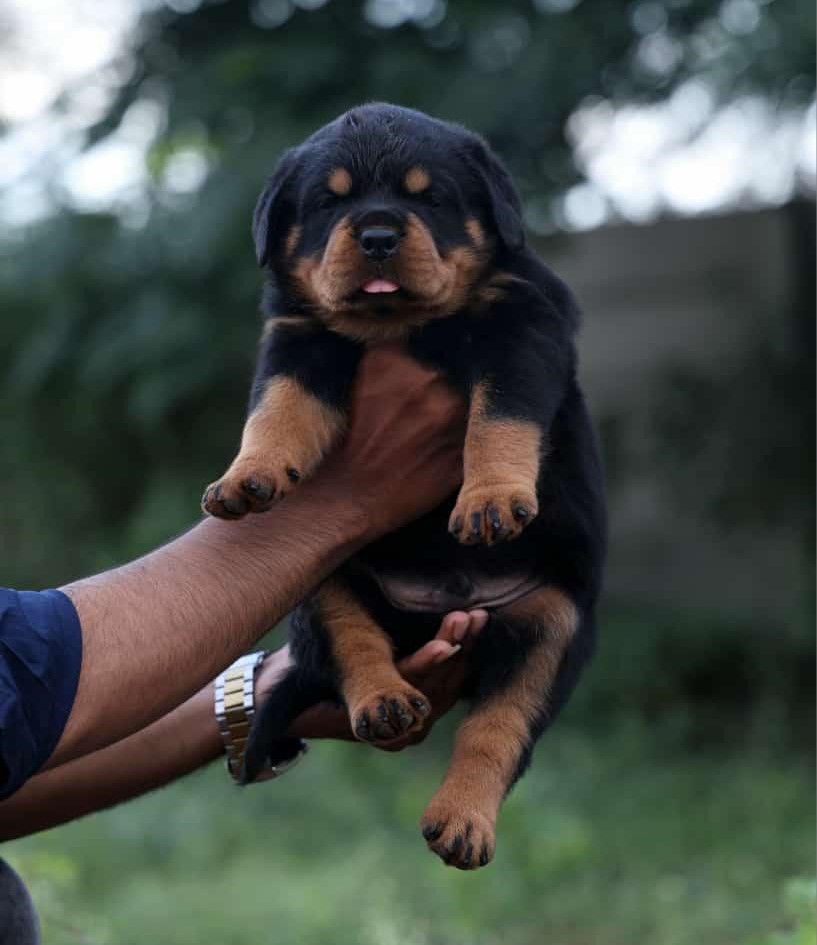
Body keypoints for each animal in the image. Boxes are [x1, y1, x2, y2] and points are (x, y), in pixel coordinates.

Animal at [201, 103, 604, 872]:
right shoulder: (299, 341)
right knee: (354, 639)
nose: (379, 235)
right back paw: (384, 702)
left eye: (430, 197)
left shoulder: (520, 325)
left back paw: (462, 821)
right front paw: (246, 476)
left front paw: (489, 499)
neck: (404, 327)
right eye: (328, 203)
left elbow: (500, 414)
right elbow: (276, 410)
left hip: (549, 622)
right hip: (322, 575)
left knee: (498, 726)